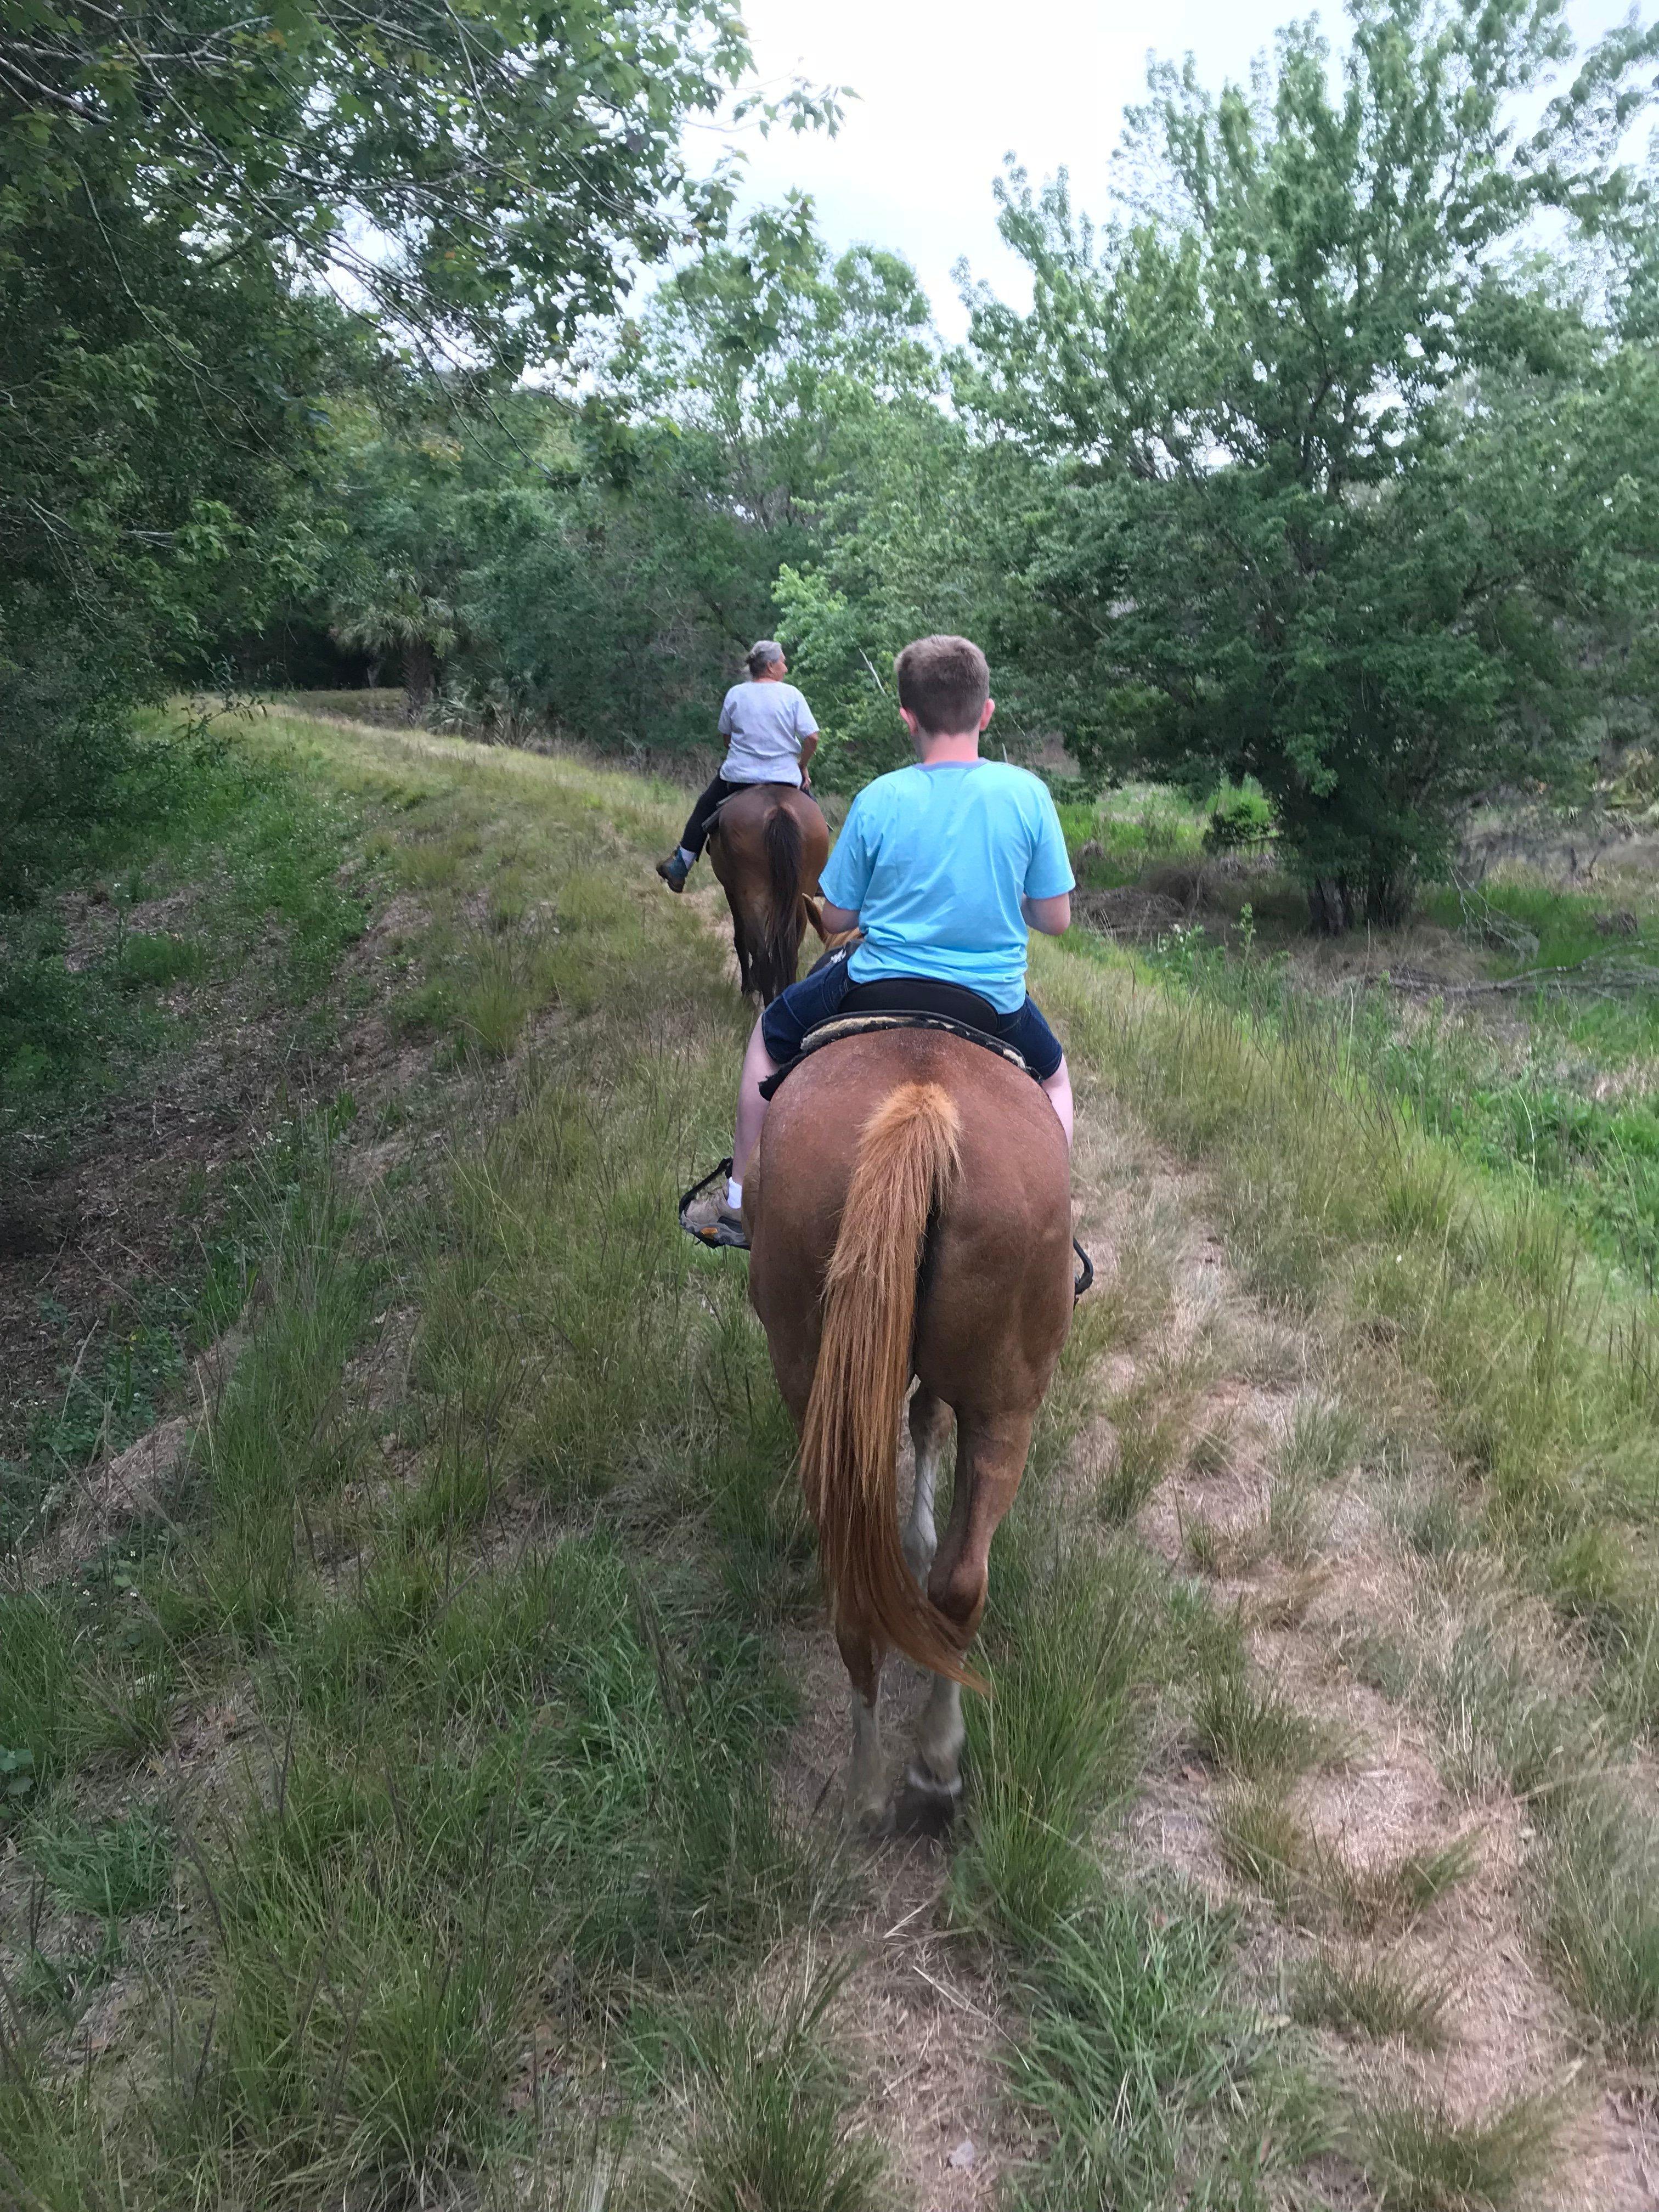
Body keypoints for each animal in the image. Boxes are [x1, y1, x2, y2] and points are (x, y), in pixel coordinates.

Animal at [708, 783, 832, 1008]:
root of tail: (778, 809)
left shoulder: (732, 891)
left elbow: (741, 939)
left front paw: (749, 987)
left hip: (751, 895)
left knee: (762, 954)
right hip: (800, 898)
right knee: (788, 955)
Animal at [743, 1026, 1079, 1822]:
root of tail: (921, 1105)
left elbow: (922, 1422)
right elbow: (927, 1422)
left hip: (827, 1377)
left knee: (880, 1588)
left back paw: (886, 1779)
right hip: (1007, 1407)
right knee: (955, 1583)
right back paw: (921, 1764)